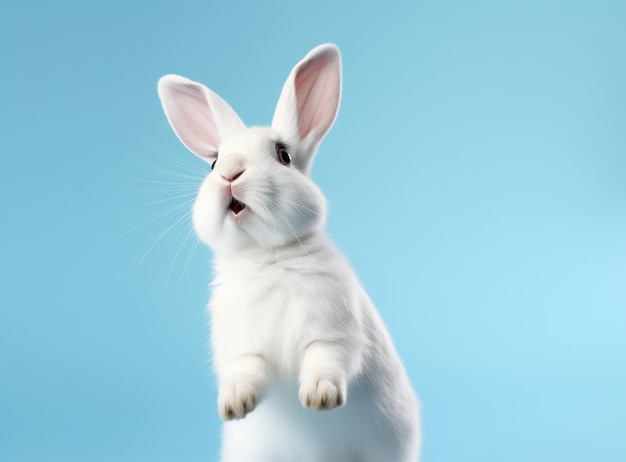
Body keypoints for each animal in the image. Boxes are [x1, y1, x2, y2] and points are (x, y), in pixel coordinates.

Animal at [156, 44, 420, 462]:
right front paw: (234, 405)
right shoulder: (243, 346)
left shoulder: (334, 332)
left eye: (283, 156)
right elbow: (246, 370)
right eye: (214, 162)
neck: (267, 255)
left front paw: (319, 398)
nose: (229, 173)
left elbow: (325, 360)